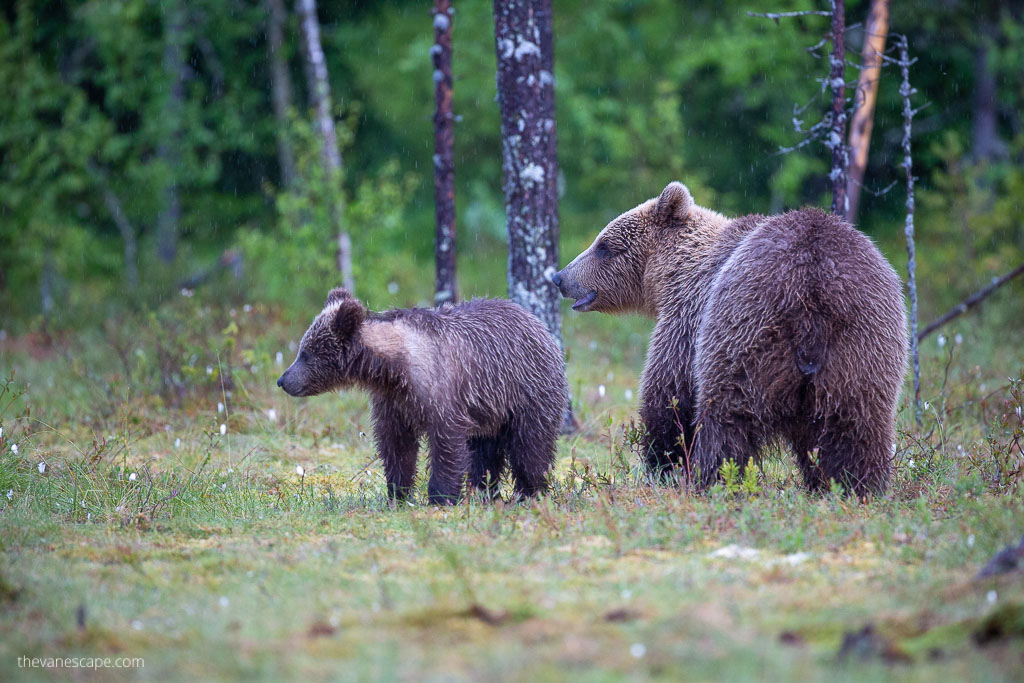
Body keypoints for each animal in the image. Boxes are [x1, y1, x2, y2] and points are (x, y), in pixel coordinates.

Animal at [557, 179, 909, 493]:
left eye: (604, 246)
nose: (560, 276)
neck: (672, 274)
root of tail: (812, 290)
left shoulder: (689, 316)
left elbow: (669, 391)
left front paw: (664, 463)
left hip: (743, 328)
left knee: (728, 418)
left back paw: (713, 478)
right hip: (863, 341)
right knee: (856, 424)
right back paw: (854, 485)